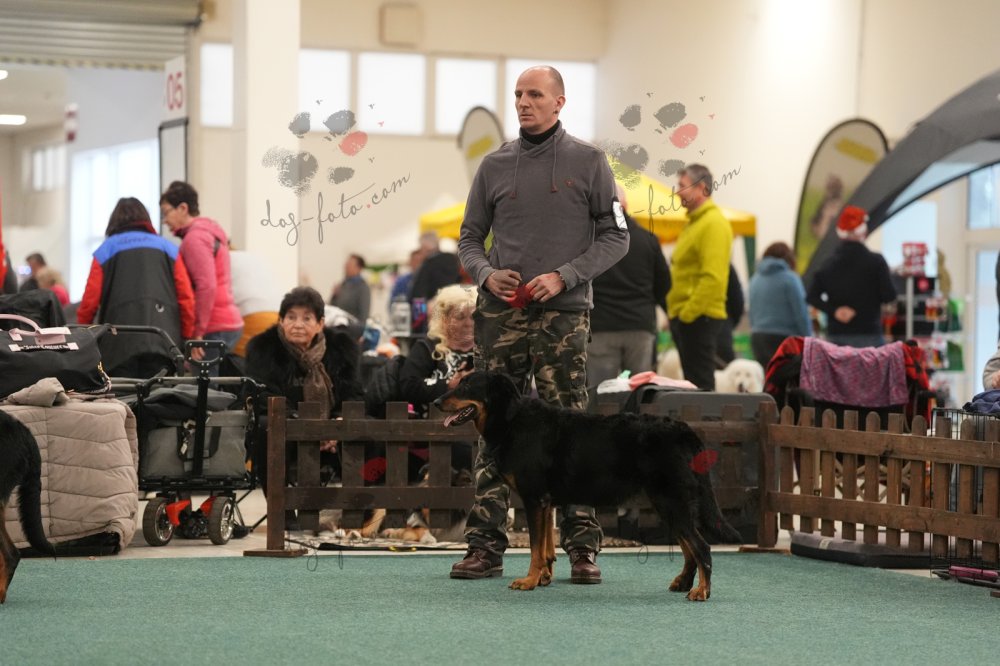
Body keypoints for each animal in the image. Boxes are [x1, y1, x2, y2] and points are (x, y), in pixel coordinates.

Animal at [434, 371, 739, 601]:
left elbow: (535, 548)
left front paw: (529, 581)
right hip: (668, 503)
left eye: (467, 385)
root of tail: (684, 430)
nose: (436, 401)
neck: (511, 420)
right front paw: (543, 578)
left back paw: (701, 591)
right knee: (689, 547)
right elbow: (545, 547)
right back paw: (683, 583)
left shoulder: (534, 499)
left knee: (701, 547)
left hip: (671, 500)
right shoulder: (546, 502)